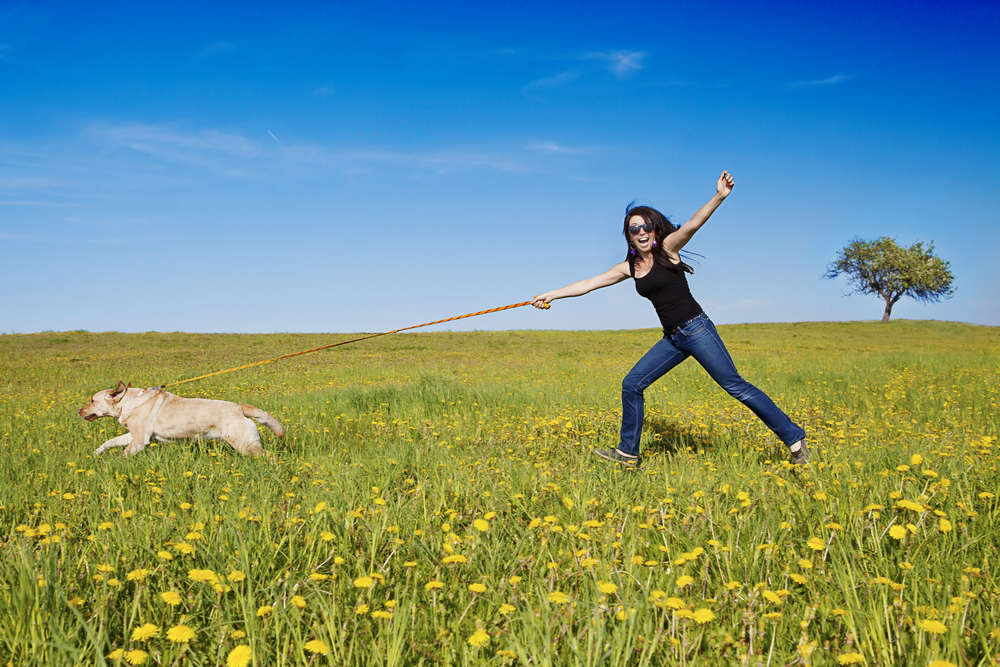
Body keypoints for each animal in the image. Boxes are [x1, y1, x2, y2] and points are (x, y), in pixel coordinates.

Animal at [79, 380, 284, 460]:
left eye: (92, 400)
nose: (79, 410)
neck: (128, 401)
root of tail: (239, 406)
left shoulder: (138, 440)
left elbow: (123, 454)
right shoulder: (134, 436)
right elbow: (109, 442)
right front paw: (96, 454)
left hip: (245, 445)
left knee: (271, 456)